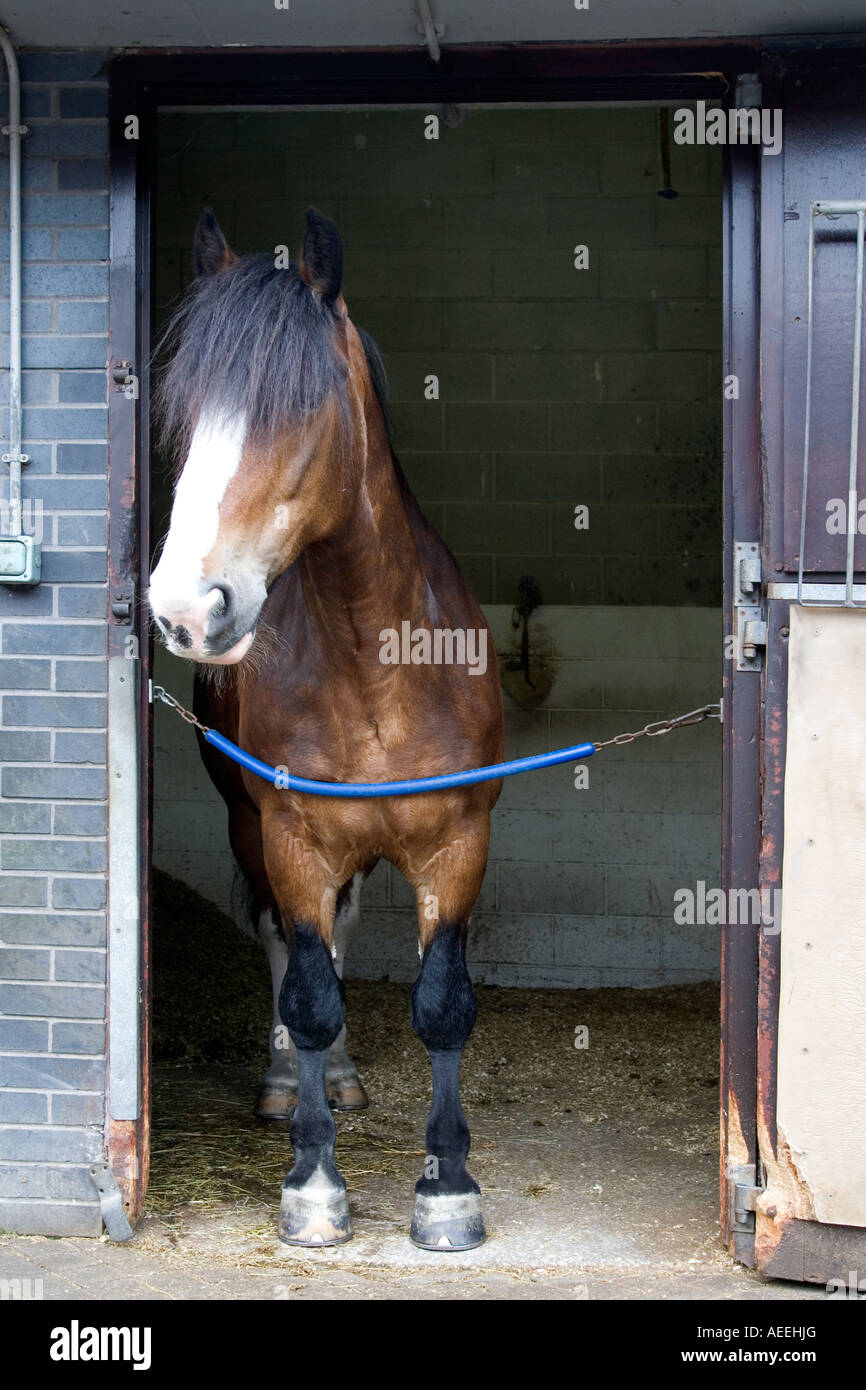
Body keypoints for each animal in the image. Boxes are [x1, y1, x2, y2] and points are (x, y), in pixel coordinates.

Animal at [146, 208, 505, 1262]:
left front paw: (448, 1190)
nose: (185, 608)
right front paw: (313, 1184)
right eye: (185, 414)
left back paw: (342, 1081)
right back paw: (289, 1087)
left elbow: (442, 1005)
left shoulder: (456, 843)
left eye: (299, 409)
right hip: (250, 829)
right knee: (283, 941)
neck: (373, 664)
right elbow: (306, 996)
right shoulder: (293, 839)